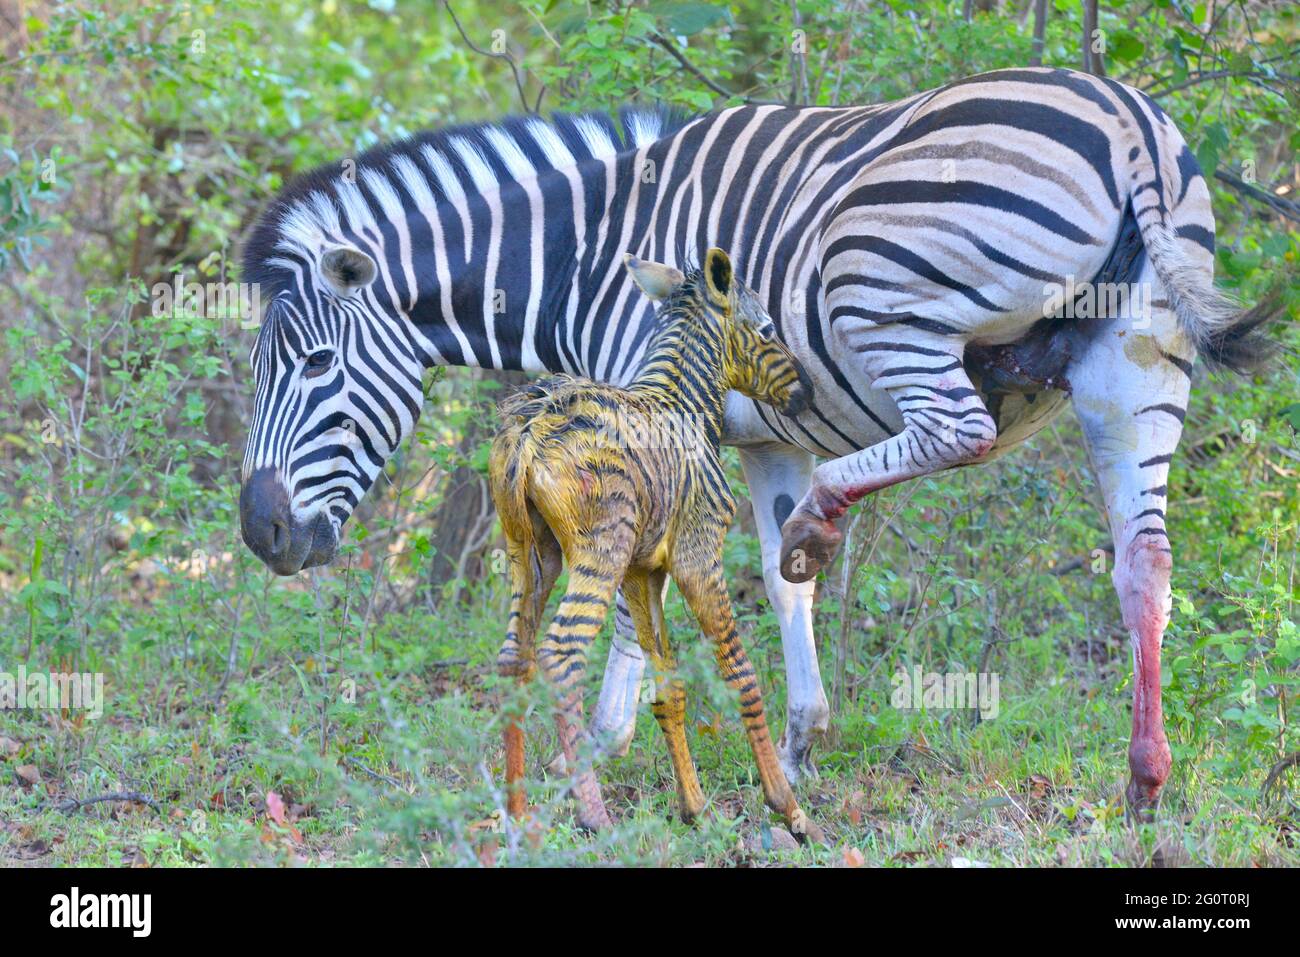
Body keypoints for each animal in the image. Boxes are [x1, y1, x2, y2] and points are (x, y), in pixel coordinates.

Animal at [238, 67, 1277, 817]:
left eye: (318, 364)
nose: (260, 534)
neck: (582, 257)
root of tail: (1129, 121)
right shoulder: (764, 438)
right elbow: (784, 592)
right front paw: (799, 743)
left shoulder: (651, 417)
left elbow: (640, 605)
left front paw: (604, 753)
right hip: (1137, 367)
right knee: (1145, 563)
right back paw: (1144, 781)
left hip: (880, 287)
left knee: (962, 428)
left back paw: (826, 515)